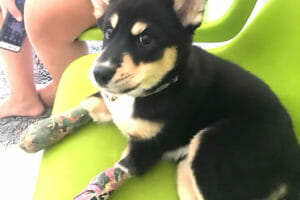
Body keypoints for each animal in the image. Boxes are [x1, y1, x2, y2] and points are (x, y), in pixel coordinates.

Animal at [75, 0, 300, 200]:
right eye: (108, 32)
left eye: (146, 39)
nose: (99, 74)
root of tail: (293, 167)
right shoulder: (103, 103)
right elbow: (80, 110)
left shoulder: (143, 152)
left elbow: (108, 175)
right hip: (186, 170)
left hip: (210, 148)